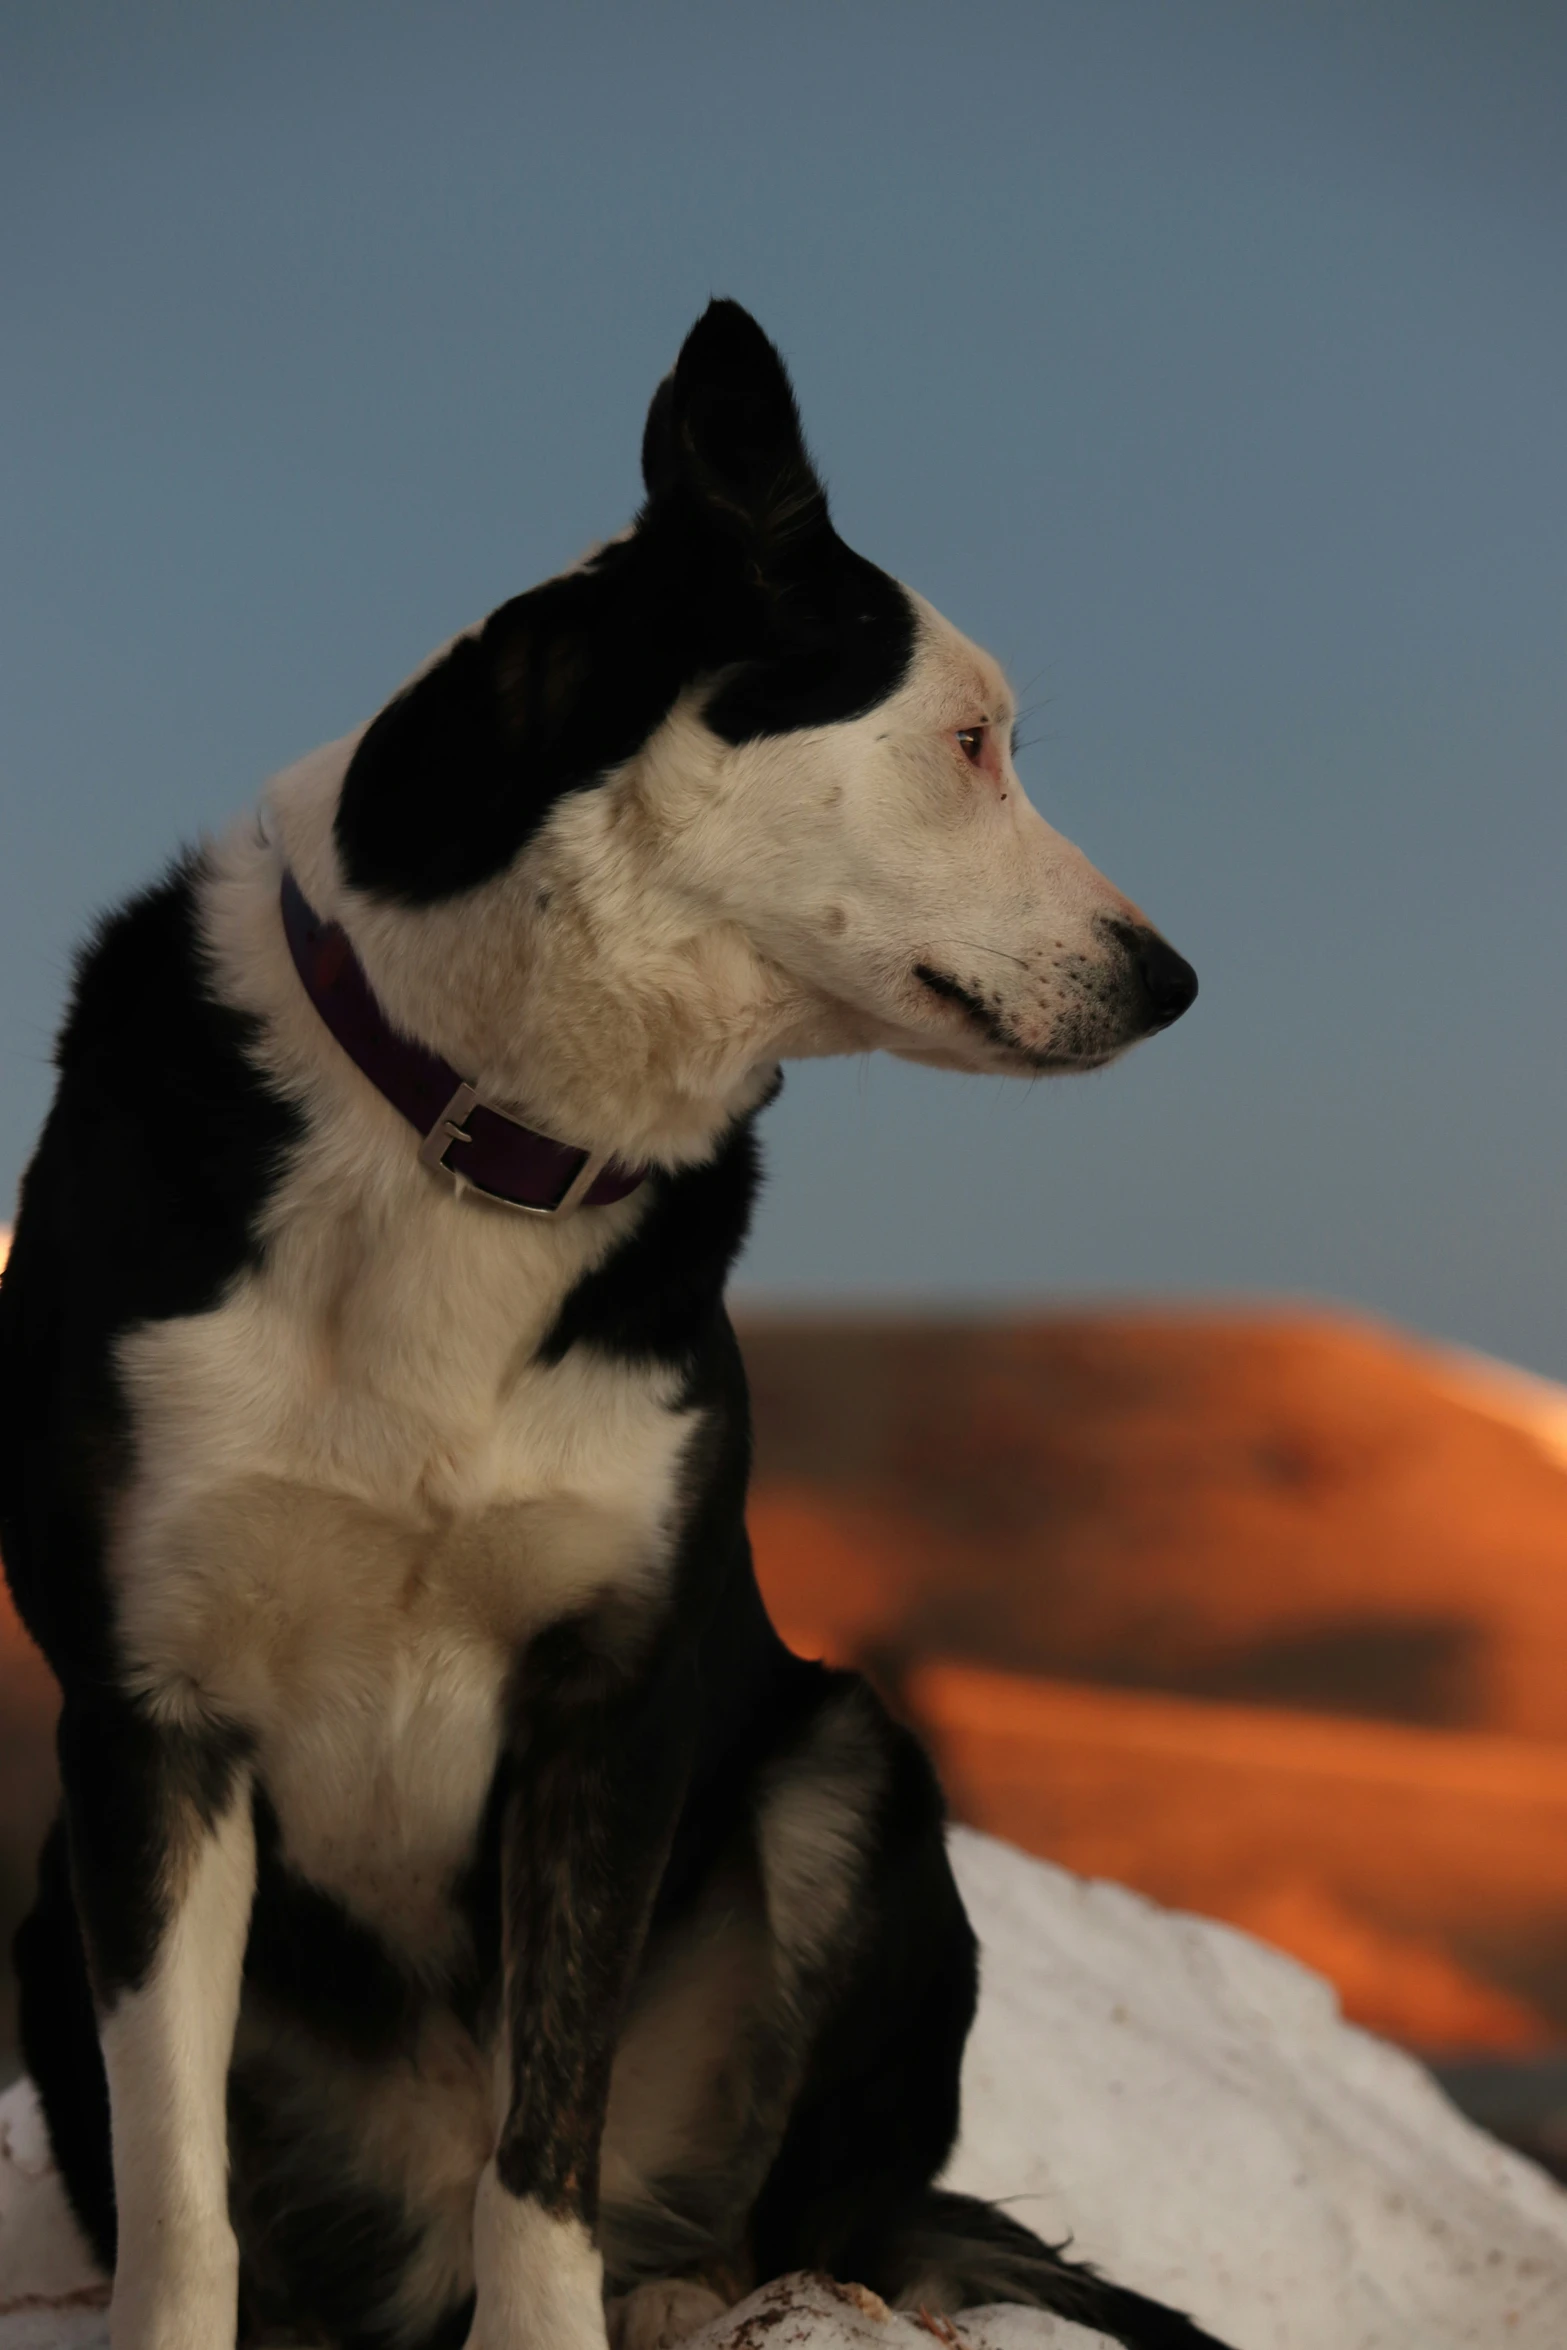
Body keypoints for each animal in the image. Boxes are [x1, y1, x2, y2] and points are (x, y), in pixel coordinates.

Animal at [0, 303, 1212, 2350]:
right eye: (969, 743)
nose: (1172, 979)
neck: (471, 1131)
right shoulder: (144, 1718)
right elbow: (175, 2186)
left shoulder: (608, 1705)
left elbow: (542, 2150)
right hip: (41, 1899)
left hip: (854, 1770)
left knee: (790, 2213)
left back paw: (703, 2293)